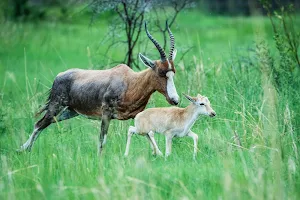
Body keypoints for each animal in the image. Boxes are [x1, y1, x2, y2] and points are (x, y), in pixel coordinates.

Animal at [17, 21, 179, 154]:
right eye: (161, 73)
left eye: (173, 72)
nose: (175, 100)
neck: (130, 81)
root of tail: (59, 76)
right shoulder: (106, 114)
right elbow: (102, 140)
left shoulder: (135, 115)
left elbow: (147, 133)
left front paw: (159, 154)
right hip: (56, 106)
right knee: (39, 124)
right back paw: (24, 150)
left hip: (69, 112)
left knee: (45, 124)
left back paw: (24, 149)